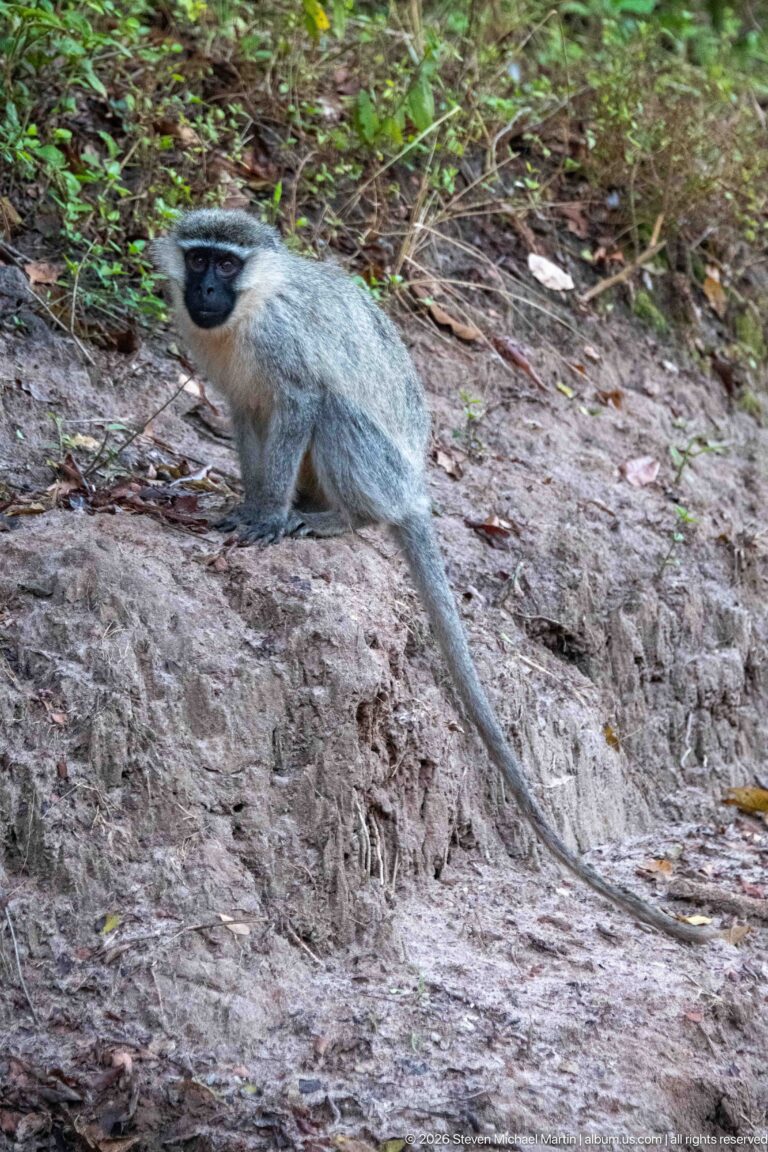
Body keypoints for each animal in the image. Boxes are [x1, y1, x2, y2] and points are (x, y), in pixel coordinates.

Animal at [153, 208, 717, 944]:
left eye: (228, 264)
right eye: (198, 260)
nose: (207, 291)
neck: (246, 312)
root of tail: (414, 490)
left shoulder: (283, 347)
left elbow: (300, 403)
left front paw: (267, 517)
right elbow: (248, 416)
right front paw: (247, 506)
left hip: (381, 472)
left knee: (333, 411)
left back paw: (343, 519)